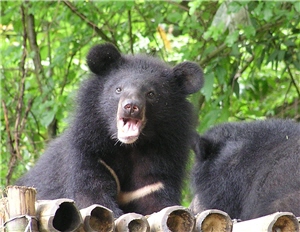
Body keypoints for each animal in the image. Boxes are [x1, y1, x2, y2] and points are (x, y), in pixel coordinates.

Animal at [17, 42, 204, 217]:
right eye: (118, 89)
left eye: (151, 94)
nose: (131, 107)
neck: (130, 147)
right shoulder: (90, 154)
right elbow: (93, 198)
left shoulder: (158, 167)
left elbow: (156, 202)